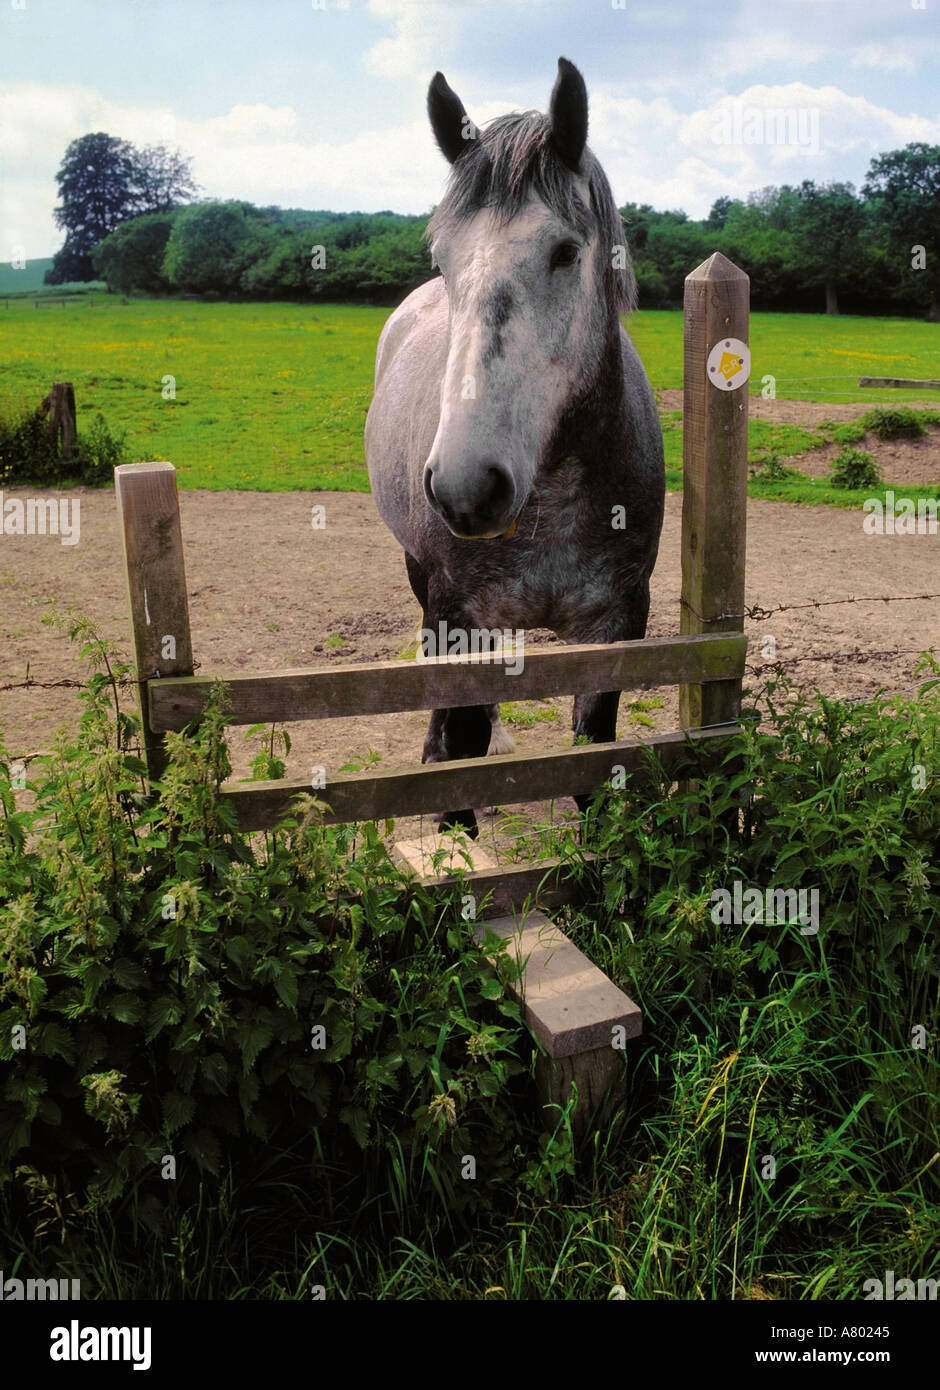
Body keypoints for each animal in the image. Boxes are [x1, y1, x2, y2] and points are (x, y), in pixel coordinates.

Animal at [365, 57, 665, 837]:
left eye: (565, 251)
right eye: (442, 259)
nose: (467, 486)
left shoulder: (619, 618)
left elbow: (594, 753)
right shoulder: (456, 611)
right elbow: (461, 761)